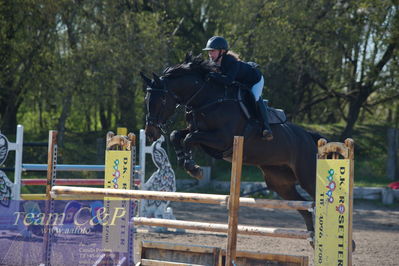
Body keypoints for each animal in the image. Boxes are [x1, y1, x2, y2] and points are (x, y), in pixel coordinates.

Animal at [141, 53, 324, 239]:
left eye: (162, 99)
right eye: (146, 99)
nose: (150, 133)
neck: (207, 100)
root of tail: (309, 137)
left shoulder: (222, 140)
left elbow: (189, 138)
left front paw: (193, 167)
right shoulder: (201, 133)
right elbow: (176, 135)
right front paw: (185, 161)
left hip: (307, 176)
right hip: (280, 182)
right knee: (303, 207)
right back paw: (312, 238)